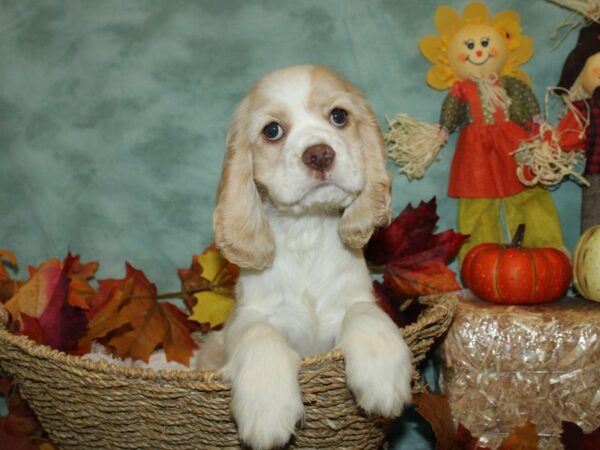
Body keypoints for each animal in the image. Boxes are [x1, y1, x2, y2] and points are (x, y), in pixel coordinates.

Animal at [211, 66, 412, 450]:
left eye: (339, 116)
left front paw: (383, 378)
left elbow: (365, 314)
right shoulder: (249, 315)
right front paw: (268, 412)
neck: (306, 229)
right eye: (272, 130)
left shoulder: (351, 300)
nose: (319, 154)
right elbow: (259, 333)